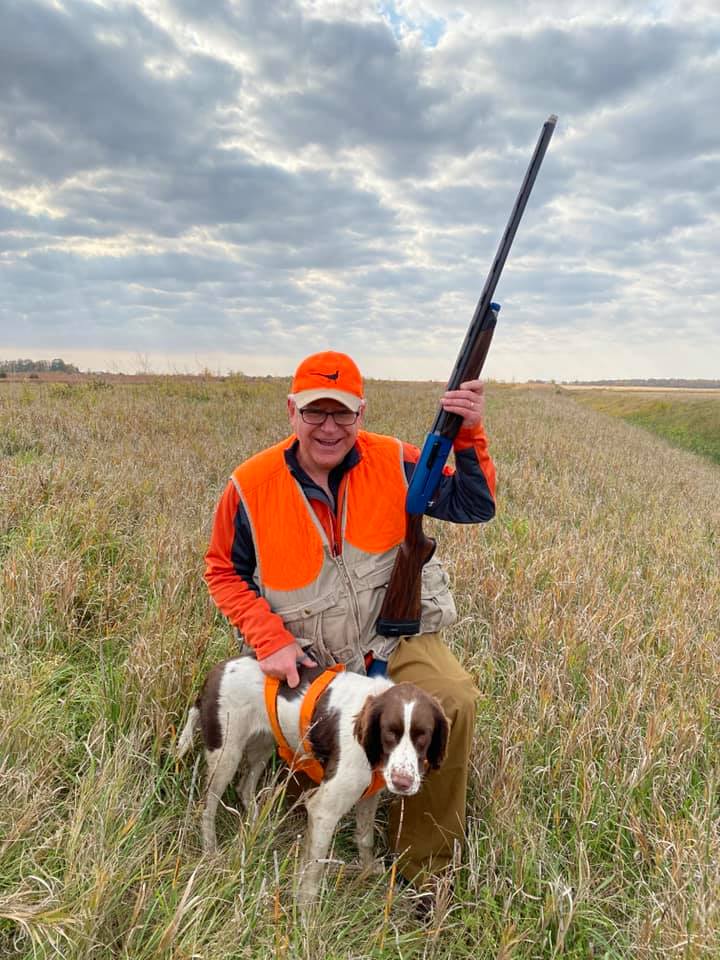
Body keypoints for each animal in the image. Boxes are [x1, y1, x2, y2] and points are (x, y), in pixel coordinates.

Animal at [177, 656, 448, 904]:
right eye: (389, 733)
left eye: (423, 736)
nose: (403, 782)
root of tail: (217, 671)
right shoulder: (323, 810)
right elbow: (314, 870)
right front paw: (305, 914)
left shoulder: (369, 795)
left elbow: (365, 837)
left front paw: (369, 871)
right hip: (226, 754)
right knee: (207, 806)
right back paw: (210, 851)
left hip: (264, 743)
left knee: (244, 787)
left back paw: (257, 825)